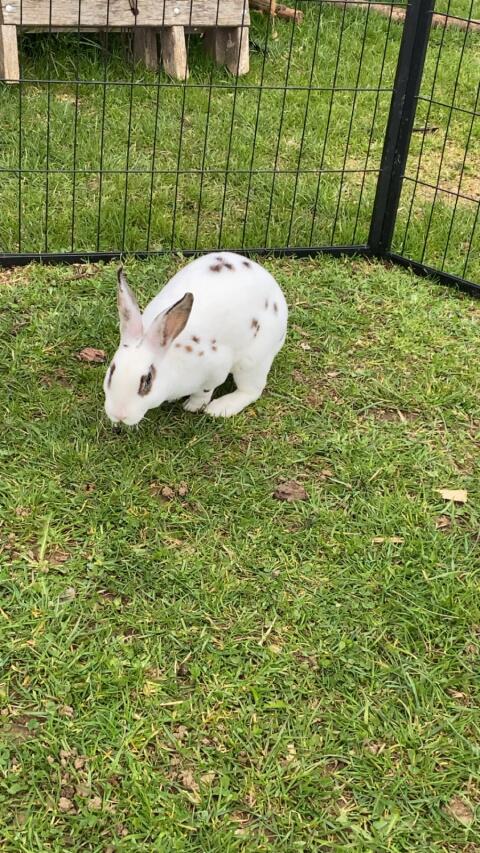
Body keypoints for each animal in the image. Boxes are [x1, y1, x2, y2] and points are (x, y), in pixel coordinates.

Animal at [103, 252, 288, 426]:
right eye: (111, 371)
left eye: (147, 381)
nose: (119, 415)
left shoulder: (216, 370)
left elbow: (204, 391)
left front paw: (193, 406)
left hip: (253, 361)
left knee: (252, 390)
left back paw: (220, 407)